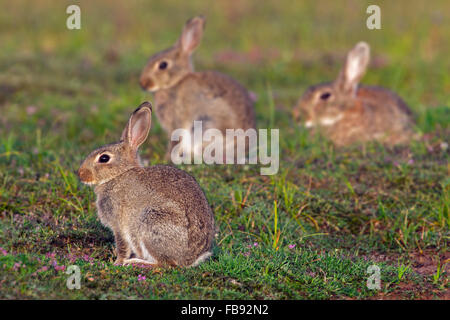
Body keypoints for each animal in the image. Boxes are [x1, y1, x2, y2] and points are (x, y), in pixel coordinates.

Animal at [78, 102, 216, 268]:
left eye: (104, 158)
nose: (80, 174)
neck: (118, 175)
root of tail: (191, 259)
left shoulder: (119, 225)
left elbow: (122, 246)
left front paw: (118, 262)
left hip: (150, 223)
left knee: (165, 264)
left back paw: (135, 262)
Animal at [139, 15, 255, 160]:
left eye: (163, 65)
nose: (143, 83)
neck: (176, 82)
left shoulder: (177, 122)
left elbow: (175, 141)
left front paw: (166, 158)